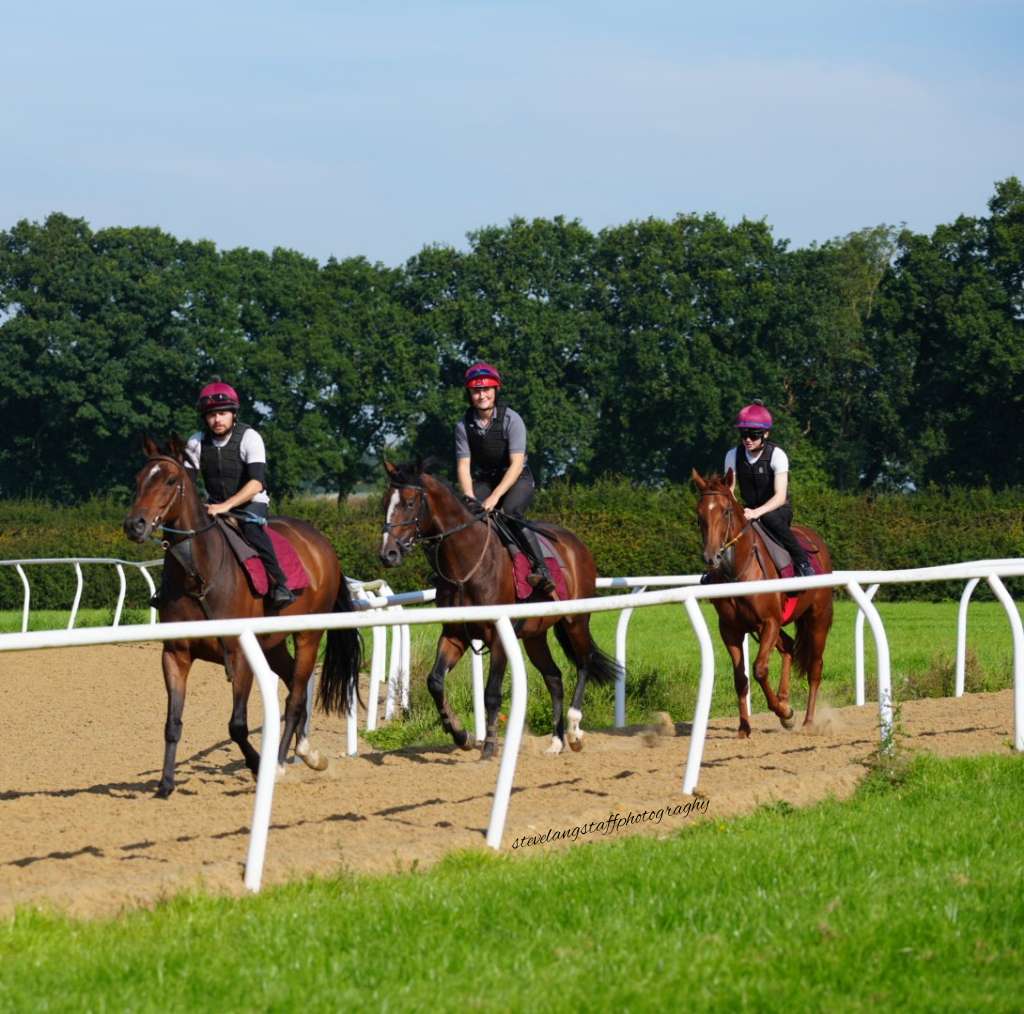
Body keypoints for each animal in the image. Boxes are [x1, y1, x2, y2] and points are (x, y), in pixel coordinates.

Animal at [124, 436, 364, 803]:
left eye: (170, 480)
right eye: (138, 479)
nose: (134, 525)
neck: (198, 576)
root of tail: (322, 543)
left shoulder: (239, 656)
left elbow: (236, 725)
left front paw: (257, 764)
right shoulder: (176, 654)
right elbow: (172, 722)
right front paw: (165, 785)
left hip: (307, 635)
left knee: (295, 696)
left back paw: (280, 764)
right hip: (273, 645)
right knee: (293, 684)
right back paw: (308, 753)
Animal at [374, 465, 618, 757]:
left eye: (410, 503)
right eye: (384, 503)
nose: (388, 554)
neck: (466, 565)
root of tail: (575, 543)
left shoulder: (499, 635)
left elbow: (491, 692)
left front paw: (489, 745)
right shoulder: (455, 634)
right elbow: (435, 681)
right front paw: (461, 734)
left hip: (576, 620)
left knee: (584, 662)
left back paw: (573, 730)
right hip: (535, 635)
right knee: (554, 677)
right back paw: (556, 742)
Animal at [692, 469, 835, 737]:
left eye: (726, 511)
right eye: (700, 513)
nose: (711, 556)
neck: (738, 571)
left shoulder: (768, 622)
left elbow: (759, 669)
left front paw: (785, 713)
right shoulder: (731, 629)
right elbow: (740, 677)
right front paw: (744, 728)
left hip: (817, 618)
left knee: (815, 667)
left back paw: (808, 721)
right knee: (788, 647)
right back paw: (785, 698)